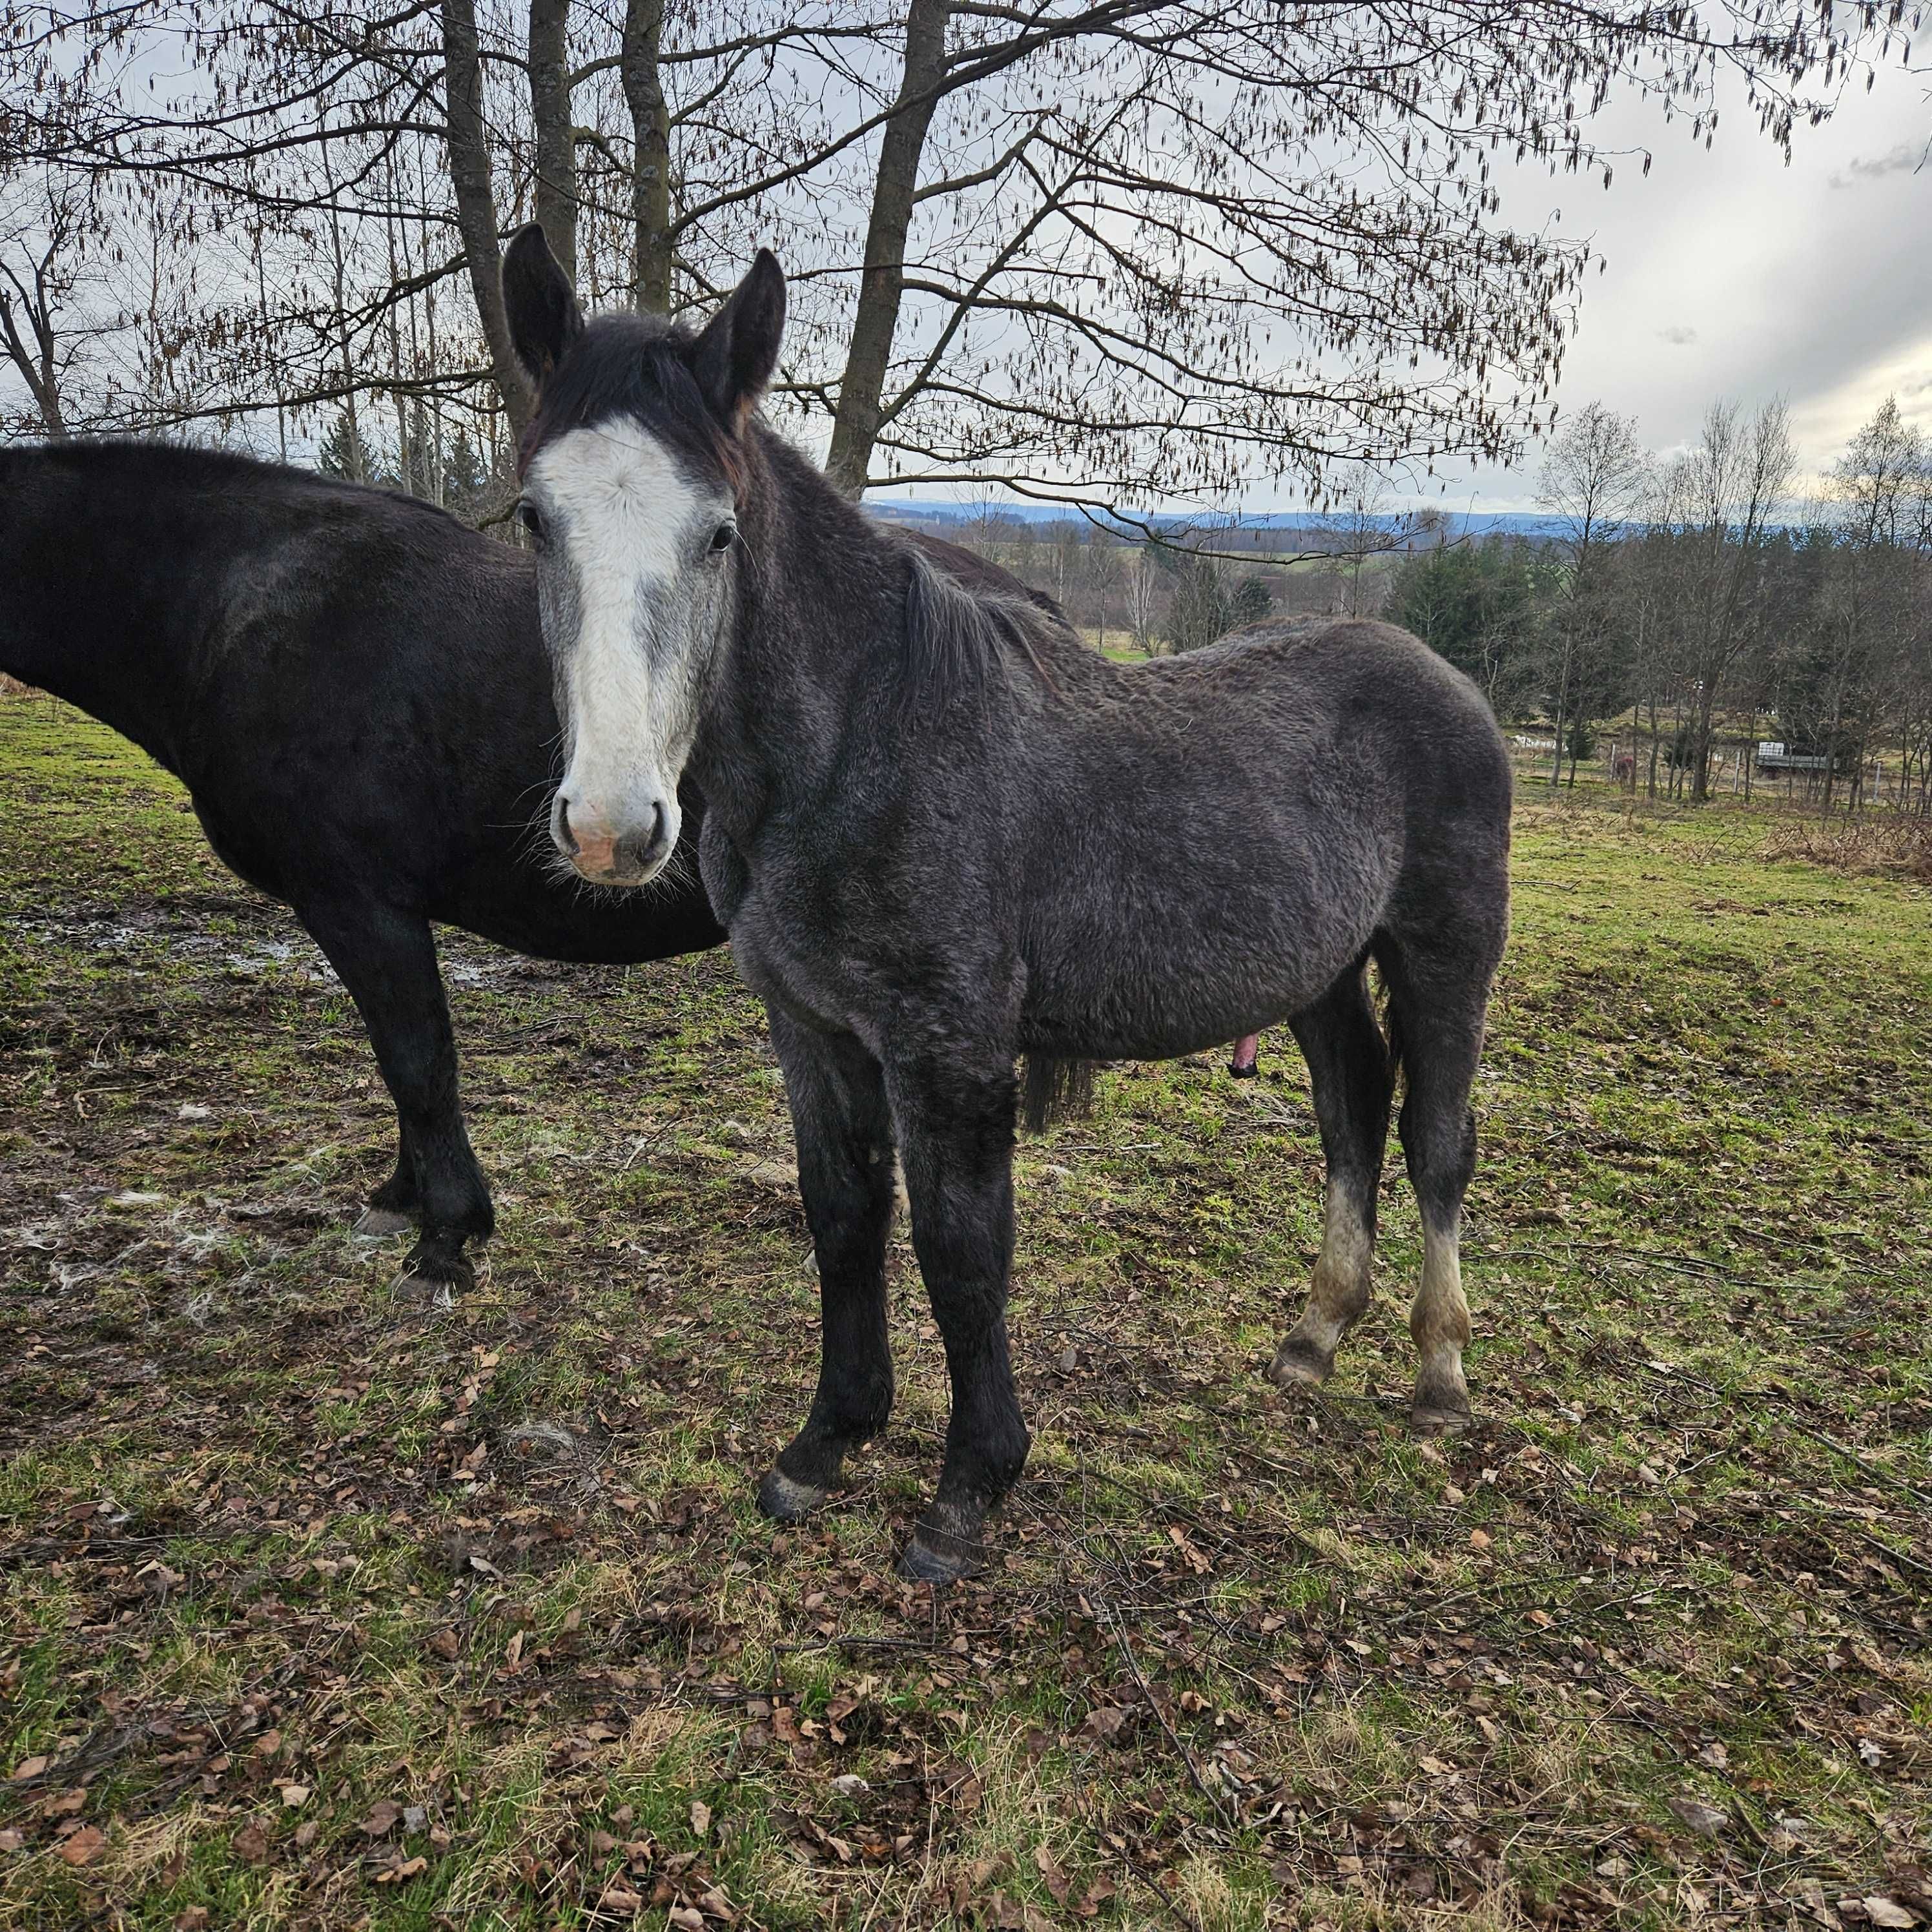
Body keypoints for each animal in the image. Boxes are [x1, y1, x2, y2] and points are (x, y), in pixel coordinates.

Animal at [0, 438, 726, 1282]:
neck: (238, 612)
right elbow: (400, 1062)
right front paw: (402, 1199)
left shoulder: (357, 901)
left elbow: (417, 1062)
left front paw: (446, 1237)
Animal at [494, 230, 1506, 1584]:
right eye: (534, 517)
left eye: (718, 534)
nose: (612, 823)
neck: (859, 744)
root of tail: (1448, 682)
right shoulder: (812, 1031)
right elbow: (844, 1219)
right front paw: (827, 1442)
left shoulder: (952, 1050)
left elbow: (960, 1250)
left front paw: (967, 1490)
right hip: (1322, 975)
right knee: (1352, 1112)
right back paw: (1313, 1337)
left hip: (1444, 955)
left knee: (1434, 1138)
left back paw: (1438, 1370)